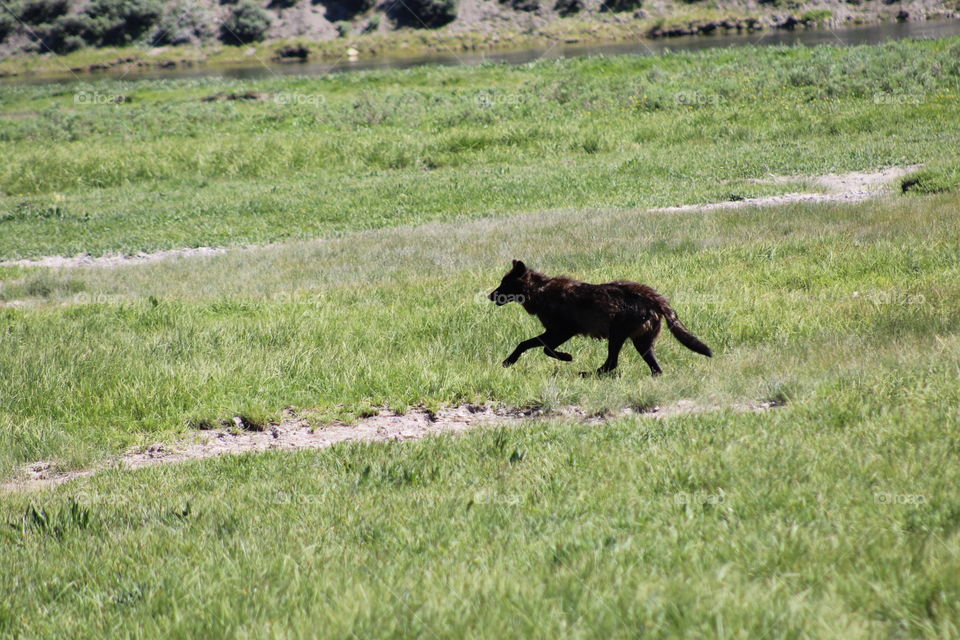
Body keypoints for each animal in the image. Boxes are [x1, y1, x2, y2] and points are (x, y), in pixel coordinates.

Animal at [492, 262, 708, 376]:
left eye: (504, 284)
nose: (489, 295)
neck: (539, 291)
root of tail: (656, 297)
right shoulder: (555, 333)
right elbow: (526, 344)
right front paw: (509, 361)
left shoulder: (563, 331)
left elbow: (543, 348)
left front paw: (566, 357)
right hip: (641, 342)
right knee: (653, 369)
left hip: (617, 336)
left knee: (611, 365)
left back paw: (586, 374)